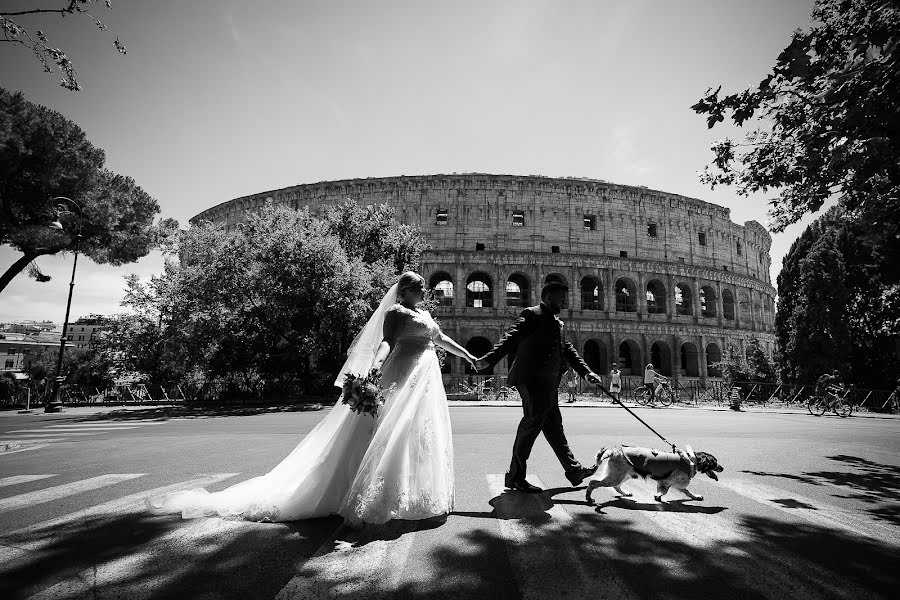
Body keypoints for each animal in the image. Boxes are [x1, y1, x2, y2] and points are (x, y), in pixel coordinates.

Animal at [584, 442, 724, 504]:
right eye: (715, 462)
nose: (722, 468)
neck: (690, 459)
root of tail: (614, 451)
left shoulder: (675, 483)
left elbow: (687, 492)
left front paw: (695, 496)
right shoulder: (667, 482)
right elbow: (665, 491)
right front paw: (658, 496)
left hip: (623, 475)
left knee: (616, 487)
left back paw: (626, 493)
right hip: (616, 476)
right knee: (592, 482)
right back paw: (589, 498)